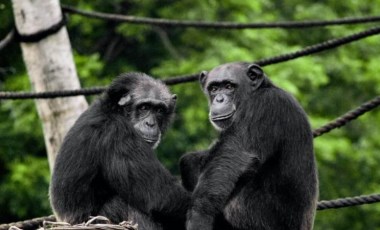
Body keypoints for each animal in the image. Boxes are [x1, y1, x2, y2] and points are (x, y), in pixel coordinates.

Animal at [49, 72, 190, 230]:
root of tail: (62, 222)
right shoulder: (118, 135)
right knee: (125, 205)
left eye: (159, 110)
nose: (150, 123)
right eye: (144, 107)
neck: (116, 111)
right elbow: (161, 195)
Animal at [180, 63, 320, 230]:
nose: (219, 99)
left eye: (229, 86)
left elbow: (233, 156)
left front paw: (199, 216)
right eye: (213, 88)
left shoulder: (264, 106)